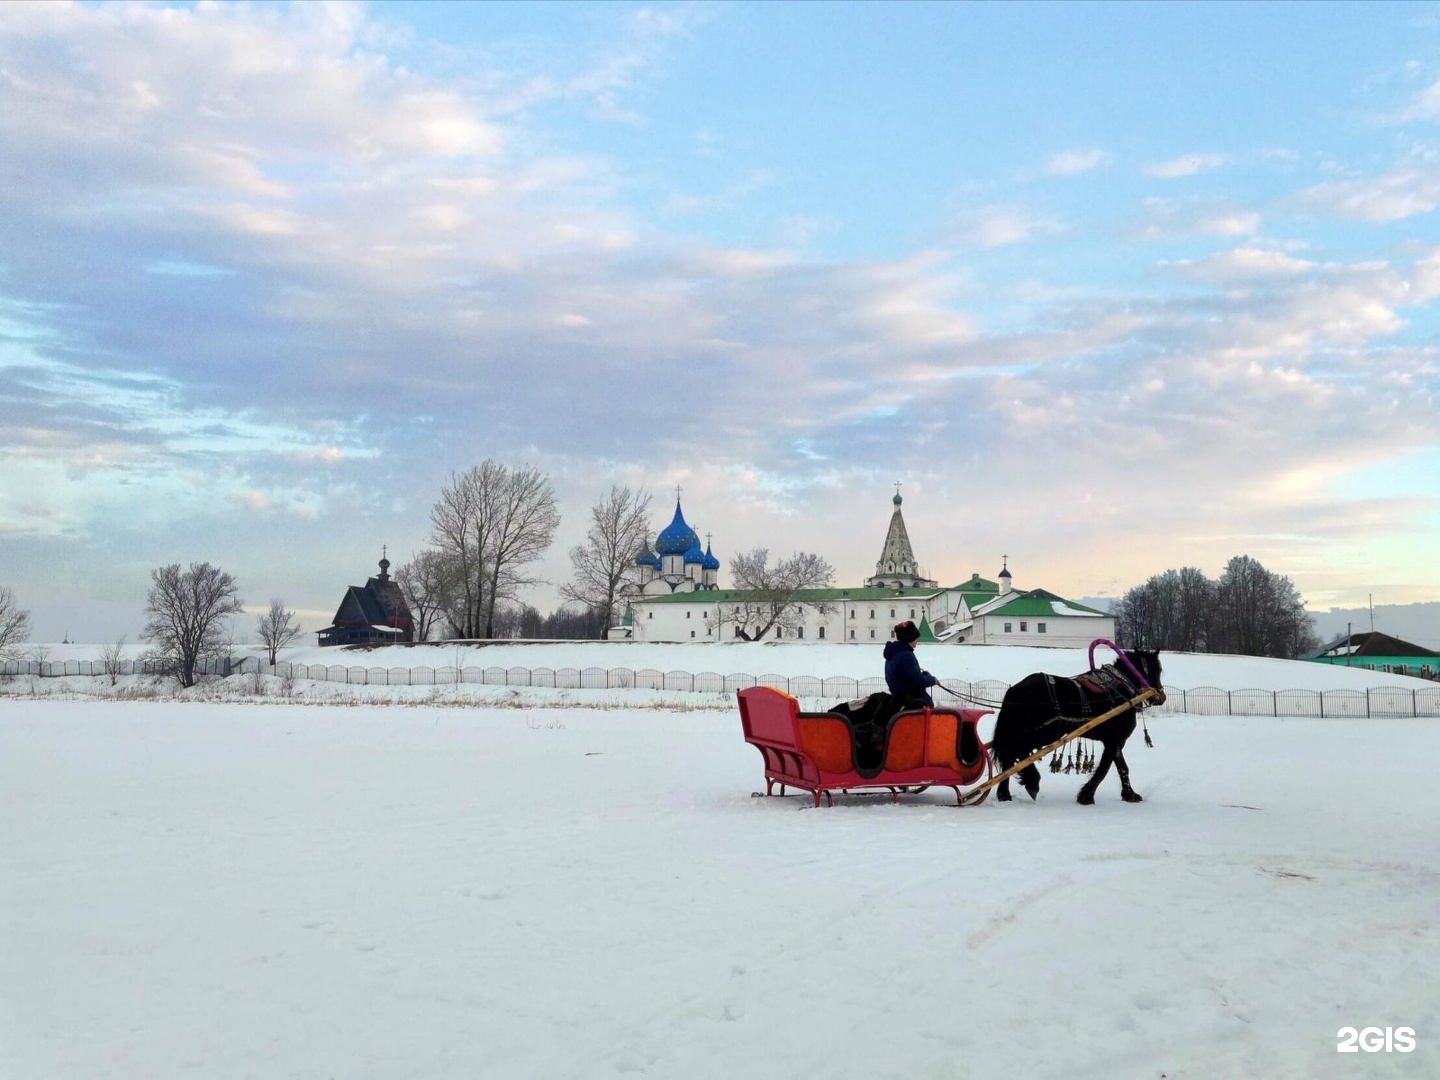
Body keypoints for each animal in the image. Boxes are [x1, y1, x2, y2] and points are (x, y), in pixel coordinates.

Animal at [996, 648, 1163, 806]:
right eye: (1158, 670)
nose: (1161, 697)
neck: (1122, 688)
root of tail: (1015, 689)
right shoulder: (1116, 737)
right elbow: (1106, 768)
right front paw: (1087, 796)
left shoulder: (1112, 740)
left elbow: (1118, 766)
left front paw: (1128, 794)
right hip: (1044, 733)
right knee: (1016, 750)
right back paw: (1031, 782)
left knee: (1009, 755)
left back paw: (1005, 794)